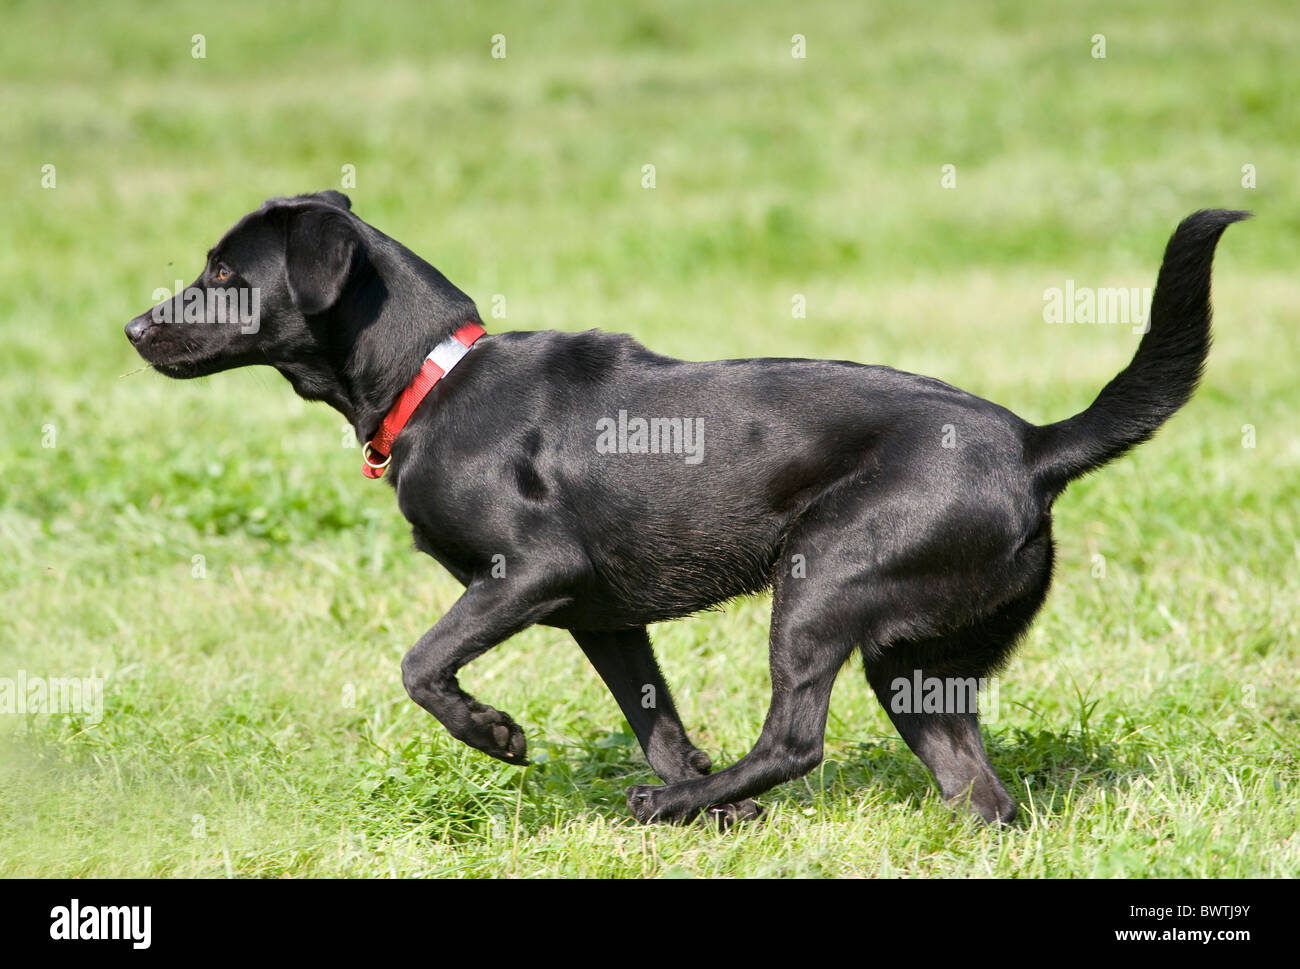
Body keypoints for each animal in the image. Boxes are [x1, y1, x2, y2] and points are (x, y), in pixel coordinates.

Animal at [124, 195, 1248, 822]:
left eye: (224, 271)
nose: (133, 328)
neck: (431, 378)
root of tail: (1035, 443)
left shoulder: (532, 573)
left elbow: (420, 663)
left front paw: (495, 733)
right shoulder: (605, 618)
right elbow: (655, 716)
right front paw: (708, 811)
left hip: (823, 577)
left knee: (795, 739)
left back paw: (667, 803)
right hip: (916, 659)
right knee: (981, 792)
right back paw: (697, 804)